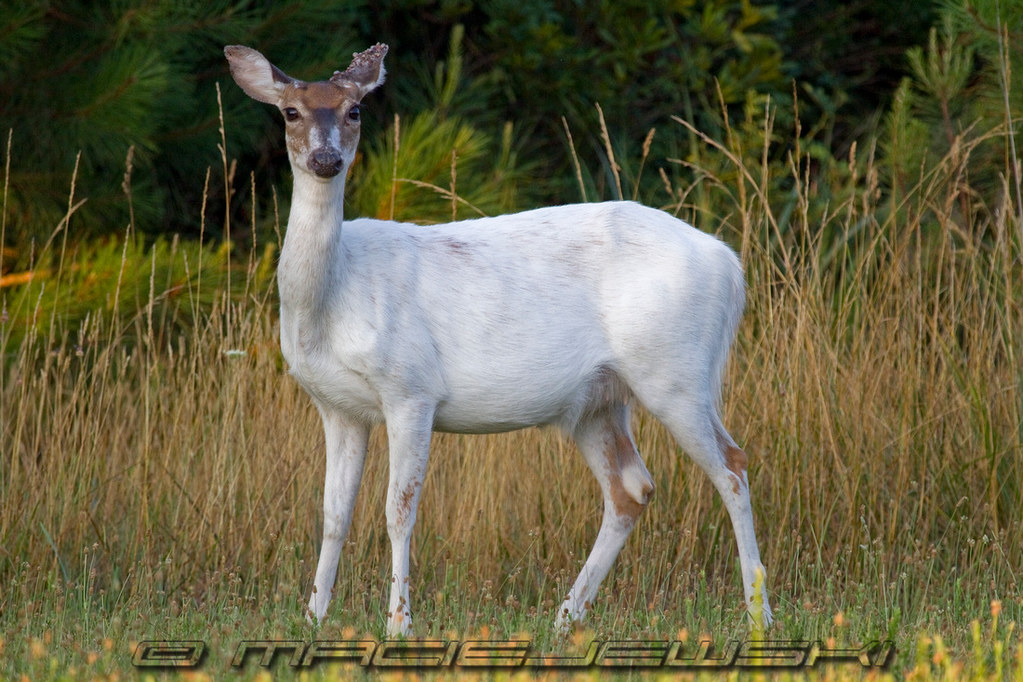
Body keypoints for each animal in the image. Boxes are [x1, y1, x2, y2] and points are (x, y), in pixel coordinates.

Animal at [224, 42, 772, 638]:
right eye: (290, 113)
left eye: (355, 111)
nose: (327, 161)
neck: (334, 295)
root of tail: (730, 264)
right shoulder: (337, 405)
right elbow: (333, 515)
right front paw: (313, 618)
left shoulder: (411, 388)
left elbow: (399, 510)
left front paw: (399, 625)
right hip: (596, 401)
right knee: (632, 488)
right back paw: (564, 618)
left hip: (677, 372)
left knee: (733, 467)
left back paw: (759, 615)